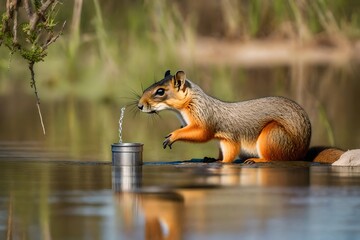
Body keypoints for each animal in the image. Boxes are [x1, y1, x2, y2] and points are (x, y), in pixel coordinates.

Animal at [137, 69, 344, 163]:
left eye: (160, 91)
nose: (139, 105)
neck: (183, 110)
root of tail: (301, 152)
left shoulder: (207, 119)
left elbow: (203, 134)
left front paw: (173, 136)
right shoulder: (222, 140)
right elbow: (222, 152)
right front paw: (214, 159)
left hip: (273, 135)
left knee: (276, 158)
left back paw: (258, 160)